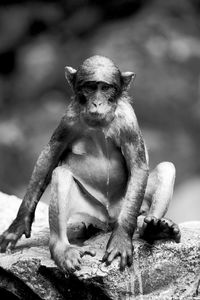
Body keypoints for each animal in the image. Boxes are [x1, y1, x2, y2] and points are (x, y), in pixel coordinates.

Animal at [0, 54, 181, 272]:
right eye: (90, 87)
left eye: (106, 88)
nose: (97, 103)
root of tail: (108, 220)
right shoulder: (68, 120)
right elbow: (49, 158)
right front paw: (18, 224)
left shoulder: (128, 123)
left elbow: (138, 168)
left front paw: (121, 239)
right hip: (87, 213)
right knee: (61, 175)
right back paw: (62, 248)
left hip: (131, 207)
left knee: (166, 168)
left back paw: (154, 228)